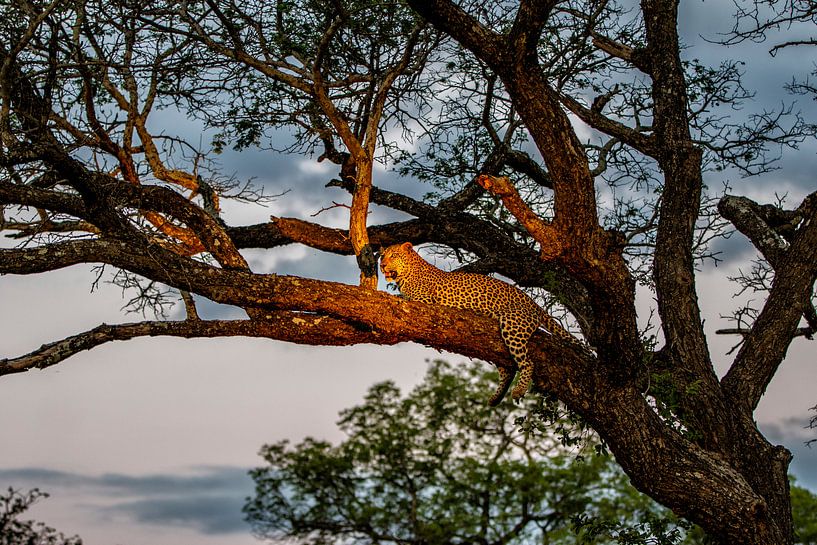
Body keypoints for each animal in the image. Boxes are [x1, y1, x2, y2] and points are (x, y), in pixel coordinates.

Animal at [380, 241, 584, 404]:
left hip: (512, 325)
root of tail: (533, 303)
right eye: (382, 256)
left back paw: (518, 391)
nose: (381, 265)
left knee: (527, 362)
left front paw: (387, 294)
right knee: (508, 369)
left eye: (394, 255)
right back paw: (495, 398)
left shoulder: (424, 300)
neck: (406, 274)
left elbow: (401, 297)